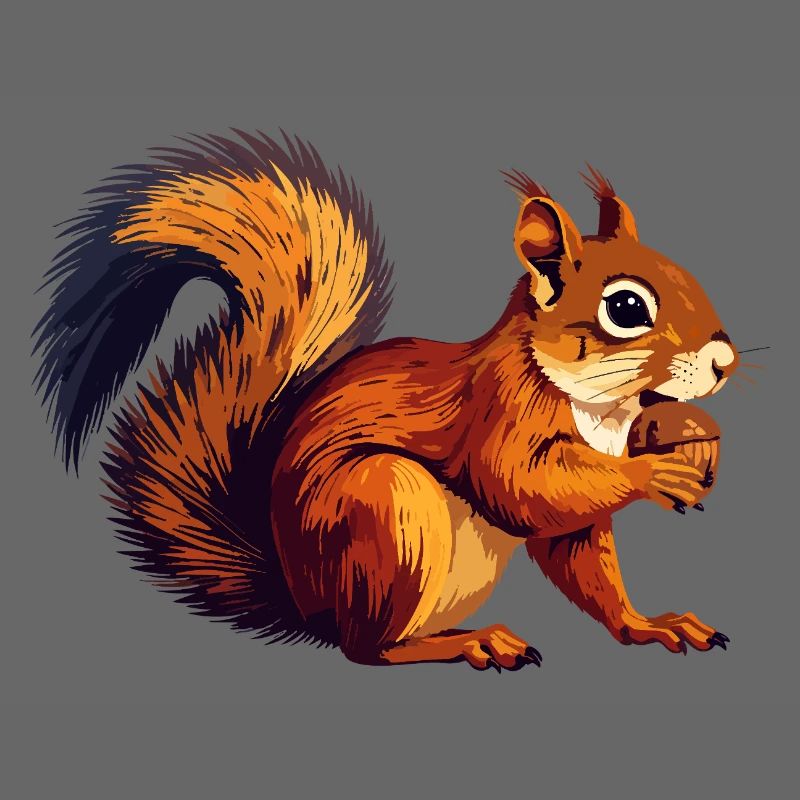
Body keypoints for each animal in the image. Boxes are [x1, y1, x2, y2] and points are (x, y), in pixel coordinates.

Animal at [34, 132, 739, 671]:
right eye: (626, 307)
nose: (724, 362)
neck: (598, 407)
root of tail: (304, 602)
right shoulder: (498, 414)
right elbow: (521, 485)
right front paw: (656, 473)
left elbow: (581, 554)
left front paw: (649, 620)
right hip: (386, 507)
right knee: (367, 650)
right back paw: (467, 644)